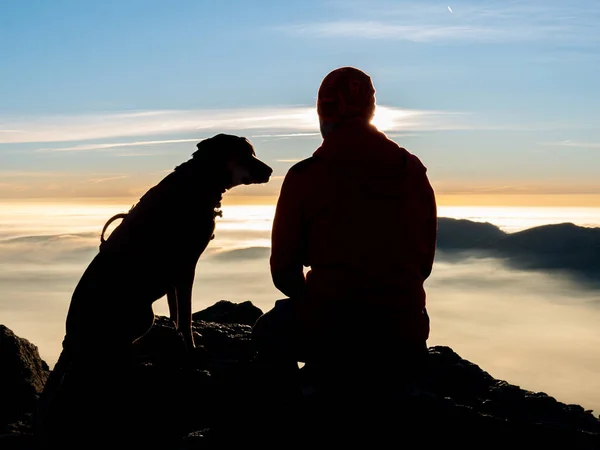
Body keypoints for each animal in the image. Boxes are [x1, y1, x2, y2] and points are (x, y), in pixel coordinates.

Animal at [60, 133, 272, 358]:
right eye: (244, 155)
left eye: (252, 153)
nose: (270, 171)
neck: (196, 183)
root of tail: (70, 338)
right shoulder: (186, 266)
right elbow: (185, 313)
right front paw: (191, 348)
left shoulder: (175, 275)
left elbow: (175, 310)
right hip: (143, 315)